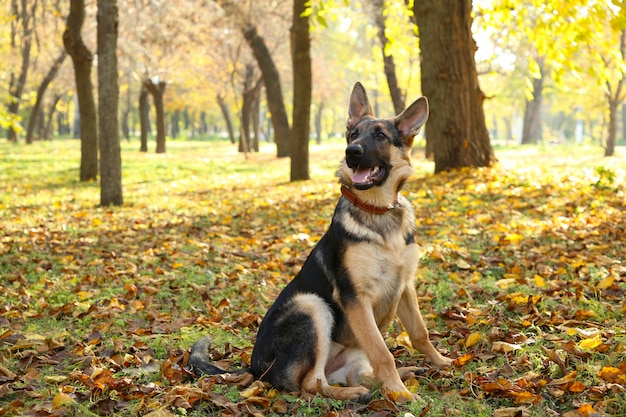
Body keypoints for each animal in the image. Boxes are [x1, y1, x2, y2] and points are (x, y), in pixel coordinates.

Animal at [188, 82, 450, 404]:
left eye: (380, 136)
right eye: (353, 134)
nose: (351, 152)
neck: (378, 211)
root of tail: (255, 368)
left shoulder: (405, 287)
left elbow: (419, 333)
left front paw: (440, 362)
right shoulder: (355, 298)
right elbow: (382, 352)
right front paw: (399, 393)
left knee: (350, 373)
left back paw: (404, 372)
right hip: (312, 306)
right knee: (311, 383)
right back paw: (357, 393)